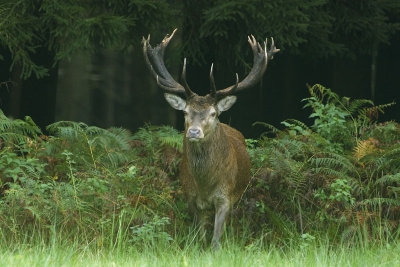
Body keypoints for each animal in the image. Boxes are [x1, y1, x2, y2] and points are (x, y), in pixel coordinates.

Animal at [143, 28, 278, 250]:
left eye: (213, 113)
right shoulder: (189, 196)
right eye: (185, 112)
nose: (194, 132)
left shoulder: (225, 197)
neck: (205, 184)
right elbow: (199, 235)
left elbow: (215, 240)